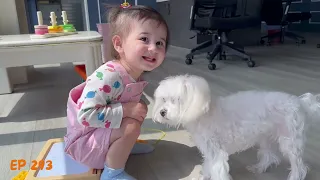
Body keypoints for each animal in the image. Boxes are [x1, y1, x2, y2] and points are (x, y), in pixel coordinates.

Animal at [152, 74, 320, 180]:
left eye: (177, 100)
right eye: (163, 99)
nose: (162, 112)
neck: (203, 113)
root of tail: (300, 103)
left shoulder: (217, 152)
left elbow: (218, 171)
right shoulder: (209, 150)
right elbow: (208, 165)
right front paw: (204, 176)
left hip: (290, 141)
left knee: (299, 166)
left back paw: (294, 176)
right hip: (265, 137)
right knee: (269, 156)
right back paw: (259, 168)